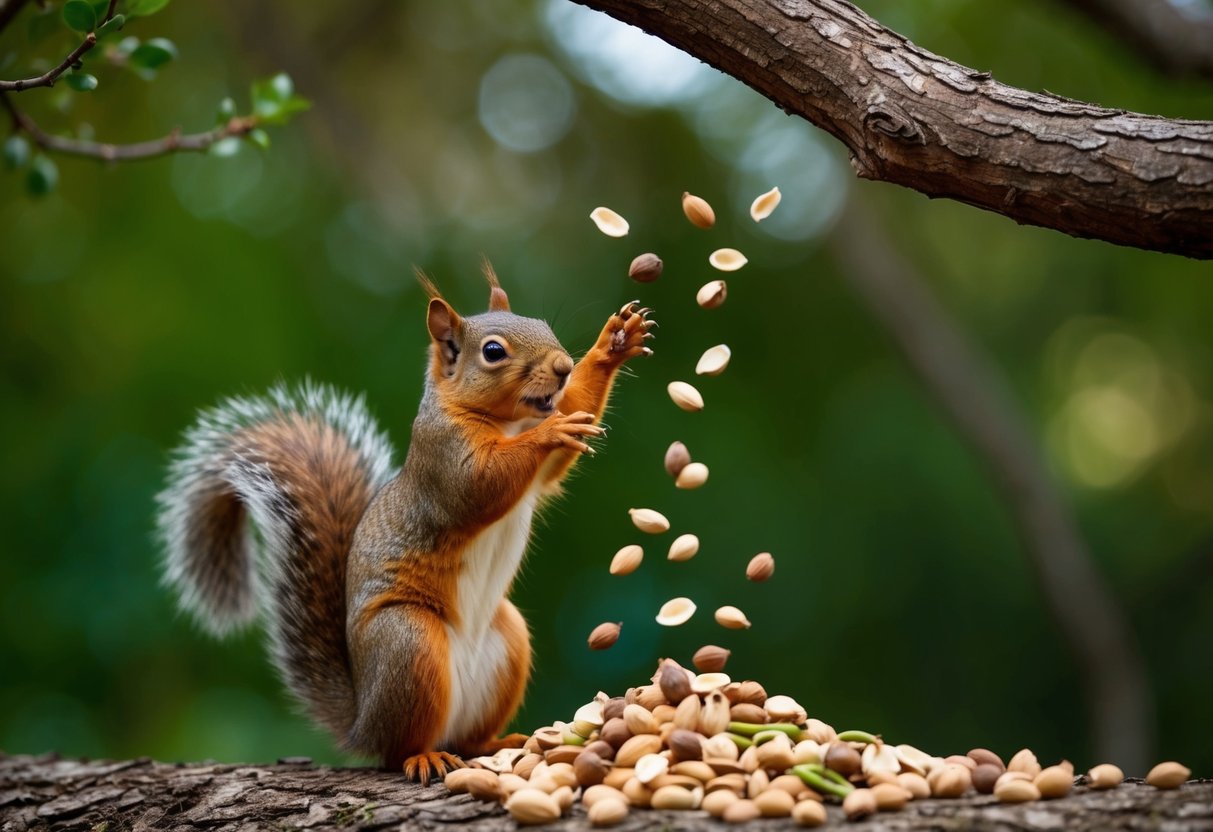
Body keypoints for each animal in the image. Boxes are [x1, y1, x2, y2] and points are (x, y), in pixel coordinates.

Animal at [155, 265, 654, 783]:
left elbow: (565, 430)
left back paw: (500, 743)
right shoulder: (444, 457)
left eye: (542, 324)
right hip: (407, 643)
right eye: (493, 351)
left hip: (508, 641)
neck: (508, 422)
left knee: (468, 738)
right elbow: (482, 484)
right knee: (399, 748)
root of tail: (362, 723)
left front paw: (614, 343)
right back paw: (424, 756)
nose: (561, 367)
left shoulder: (542, 466)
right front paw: (552, 429)